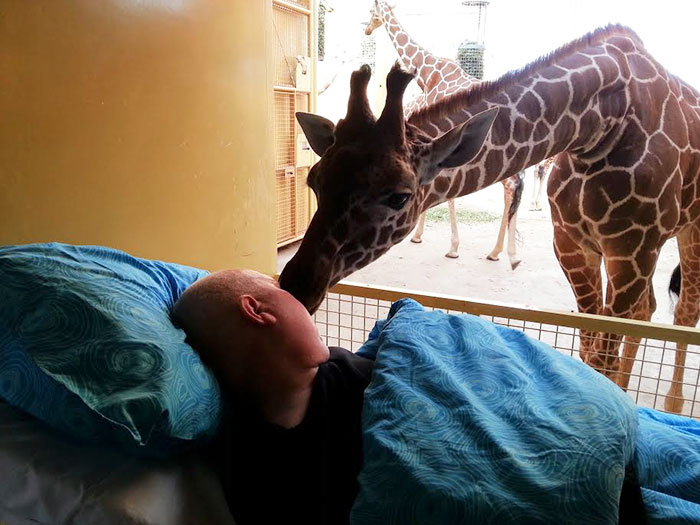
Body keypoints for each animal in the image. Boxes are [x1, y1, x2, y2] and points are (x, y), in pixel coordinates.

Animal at [364, 0, 524, 264]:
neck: (428, 73)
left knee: (512, 185)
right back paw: (502, 251)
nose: (367, 29)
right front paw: (421, 235)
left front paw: (452, 246)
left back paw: (499, 251)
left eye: (371, 12)